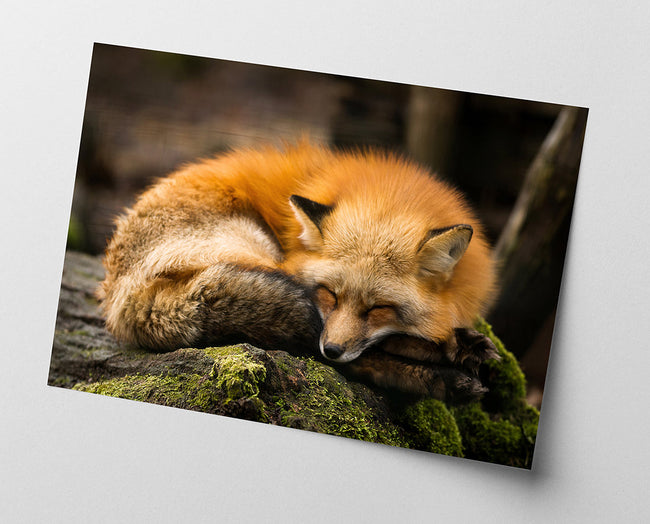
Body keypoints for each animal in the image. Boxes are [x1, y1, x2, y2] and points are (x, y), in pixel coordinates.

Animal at [98, 141, 499, 402]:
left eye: (379, 309)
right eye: (330, 294)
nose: (333, 349)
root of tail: (118, 299)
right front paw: (451, 348)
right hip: (256, 255)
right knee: (331, 352)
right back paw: (446, 372)